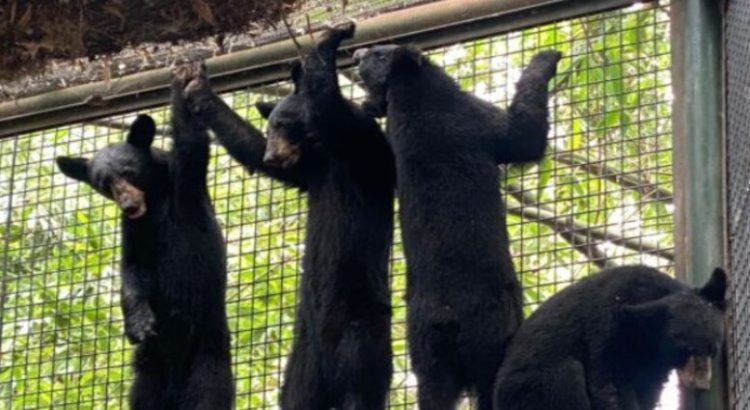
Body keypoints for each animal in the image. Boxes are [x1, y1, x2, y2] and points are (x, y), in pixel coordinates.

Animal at [57, 65, 234, 410]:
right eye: (104, 184)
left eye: (128, 171)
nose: (128, 203)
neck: (155, 199)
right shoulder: (134, 228)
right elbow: (134, 268)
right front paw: (138, 322)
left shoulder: (185, 187)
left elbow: (192, 144)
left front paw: (182, 83)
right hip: (150, 368)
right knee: (144, 395)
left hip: (209, 350)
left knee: (210, 392)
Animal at [185, 23, 396, 410]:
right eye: (270, 129)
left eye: (282, 124)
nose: (273, 154)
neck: (325, 152)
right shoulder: (310, 170)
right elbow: (253, 151)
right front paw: (197, 88)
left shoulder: (357, 140)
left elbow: (326, 102)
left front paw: (328, 40)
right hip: (305, 354)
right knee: (298, 394)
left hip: (359, 326)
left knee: (359, 384)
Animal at [356, 45, 560, 410]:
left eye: (378, 55)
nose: (356, 55)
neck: (411, 94)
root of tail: (447, 316)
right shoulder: (487, 122)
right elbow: (527, 134)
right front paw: (546, 58)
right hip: (494, 341)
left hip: (428, 360)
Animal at [494, 266, 728, 410]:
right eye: (684, 348)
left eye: (713, 349)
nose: (701, 381)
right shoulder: (607, 325)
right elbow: (608, 381)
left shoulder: (652, 366)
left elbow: (647, 391)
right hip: (528, 391)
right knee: (567, 375)